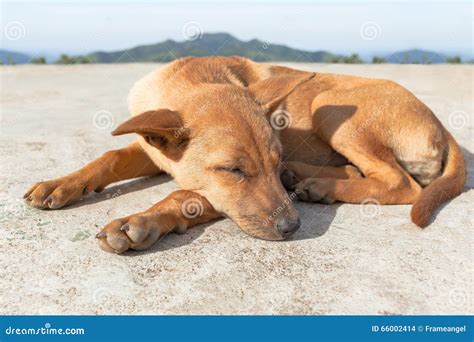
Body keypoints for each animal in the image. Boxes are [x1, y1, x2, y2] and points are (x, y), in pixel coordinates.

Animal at [23, 56, 466, 252]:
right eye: (233, 169)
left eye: (272, 159)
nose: (292, 228)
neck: (190, 79)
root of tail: (443, 126)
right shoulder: (153, 148)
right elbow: (109, 158)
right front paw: (60, 183)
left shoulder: (214, 193)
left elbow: (185, 196)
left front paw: (141, 221)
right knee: (370, 174)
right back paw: (311, 178)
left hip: (329, 104)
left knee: (401, 184)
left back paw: (318, 184)